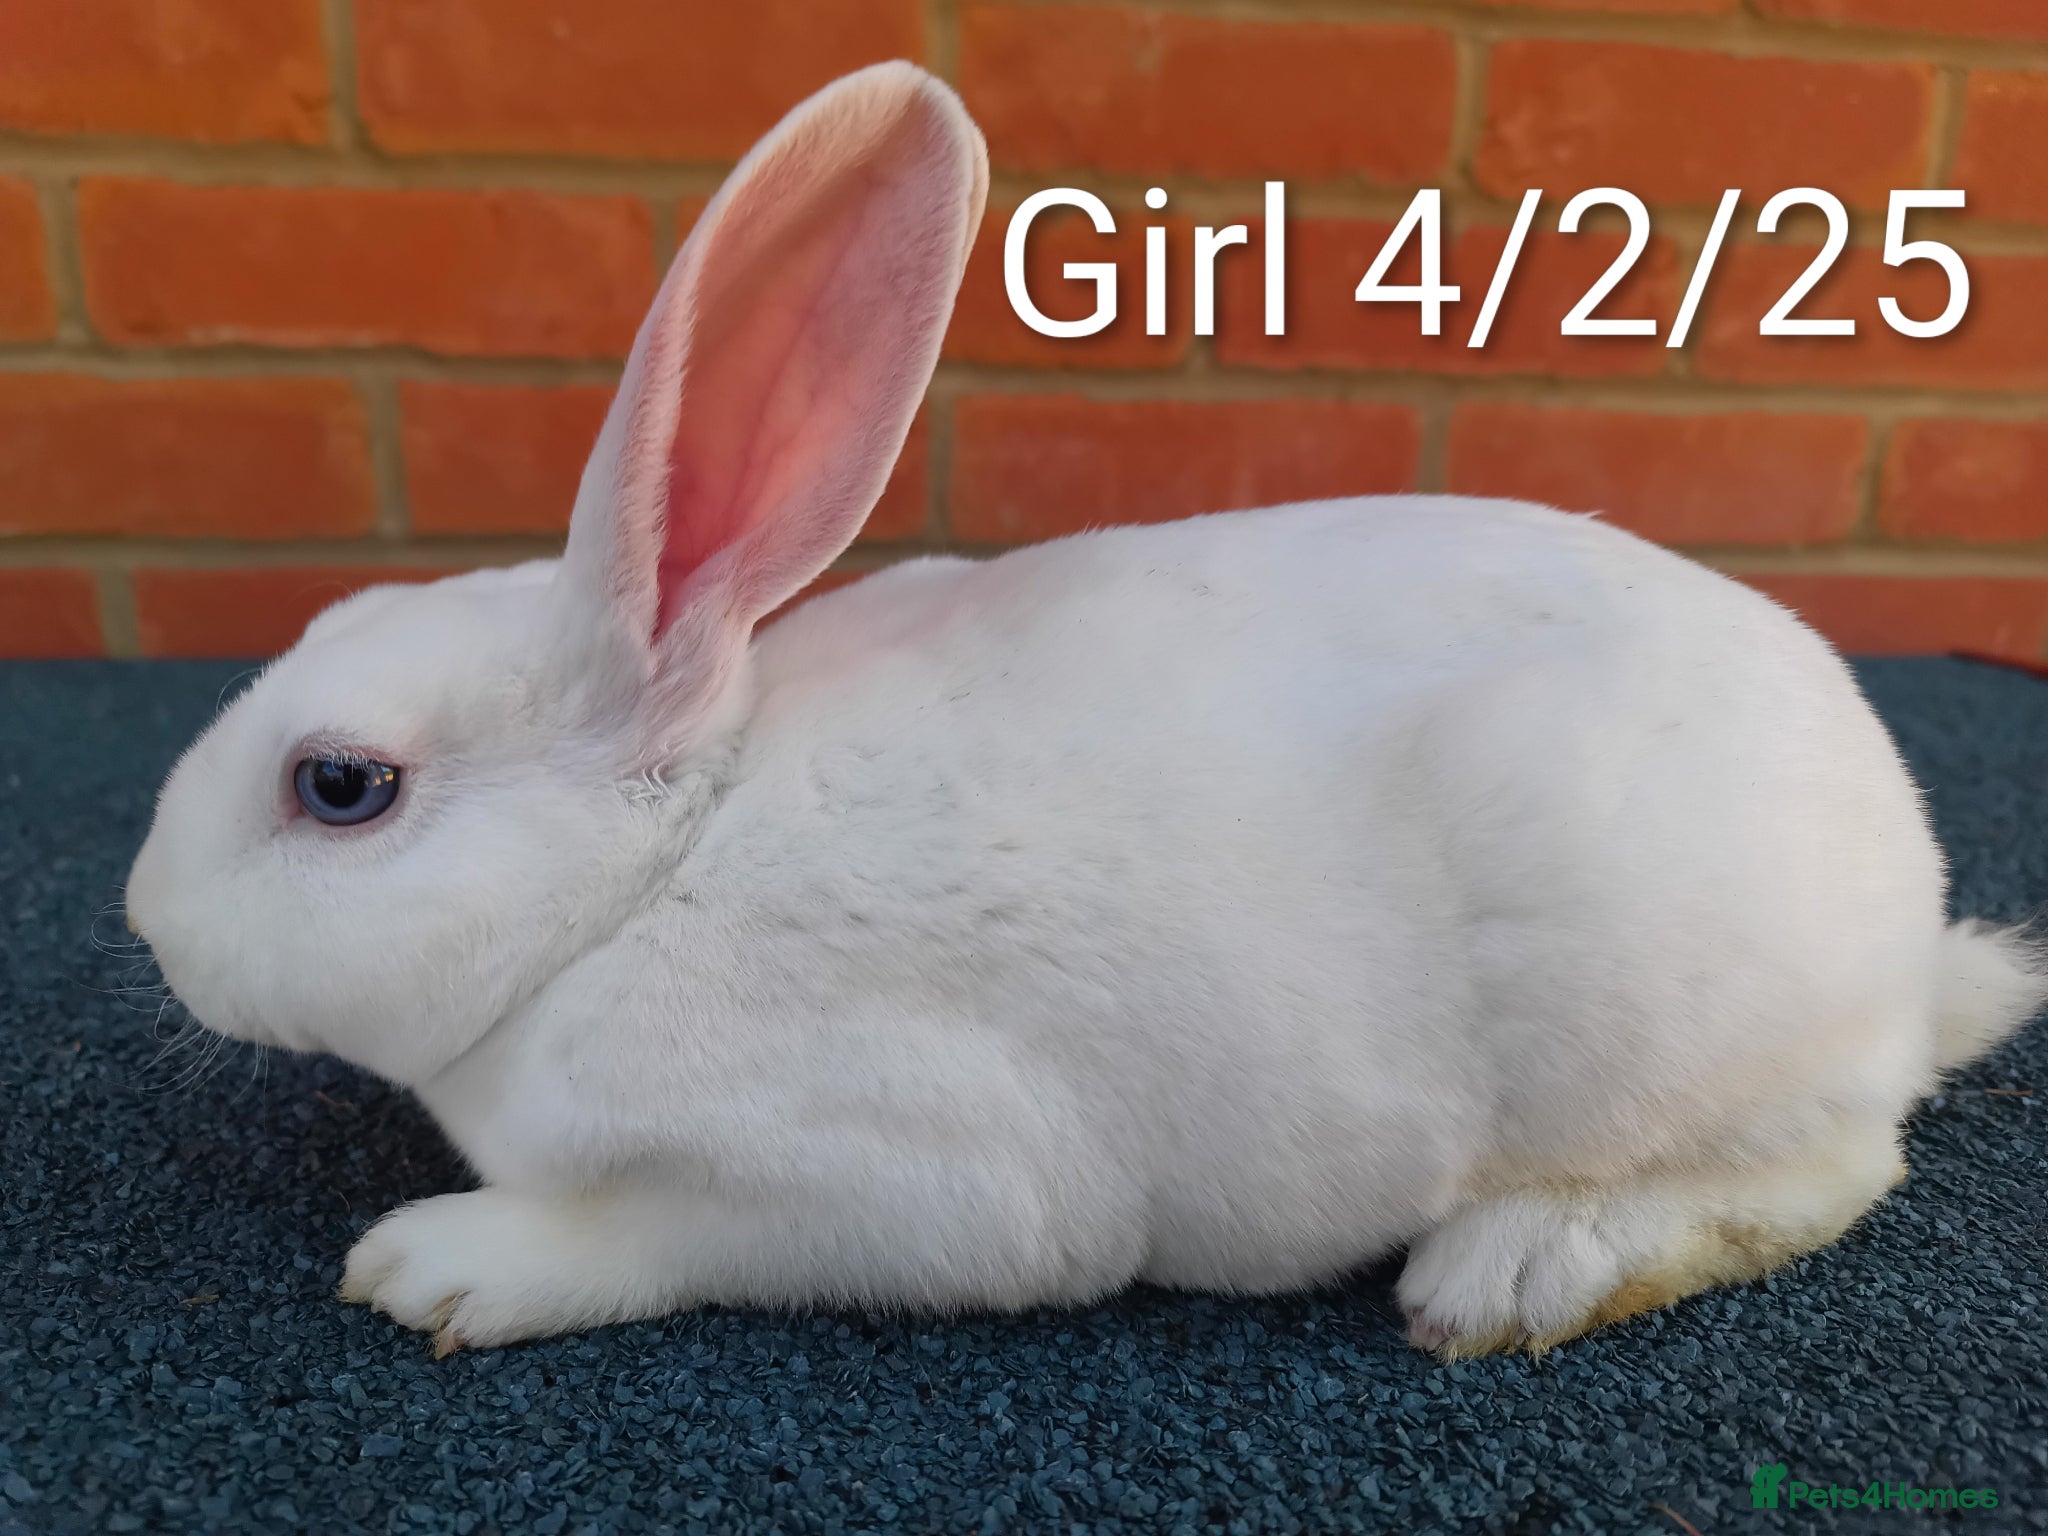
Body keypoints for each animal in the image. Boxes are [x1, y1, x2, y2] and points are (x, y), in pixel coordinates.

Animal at [125, 61, 2045, 1360]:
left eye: (342, 786)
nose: (144, 916)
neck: (658, 865)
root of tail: (1906, 933)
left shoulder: (902, 1179)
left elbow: (651, 1238)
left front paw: (434, 1265)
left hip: (1657, 1026)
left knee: (1828, 1164)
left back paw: (1514, 1275)